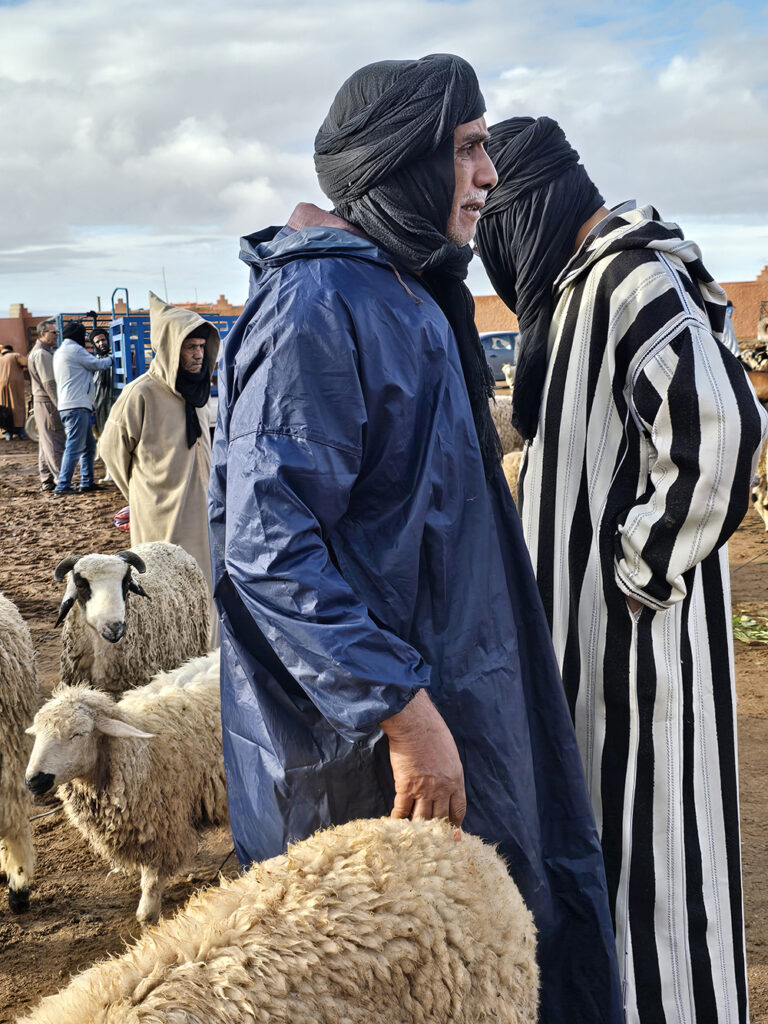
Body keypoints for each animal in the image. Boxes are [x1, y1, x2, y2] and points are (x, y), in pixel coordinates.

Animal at [24, 650, 227, 924]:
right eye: (37, 735)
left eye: (79, 734)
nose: (34, 780)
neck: (138, 752)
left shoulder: (160, 828)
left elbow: (150, 887)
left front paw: (147, 917)